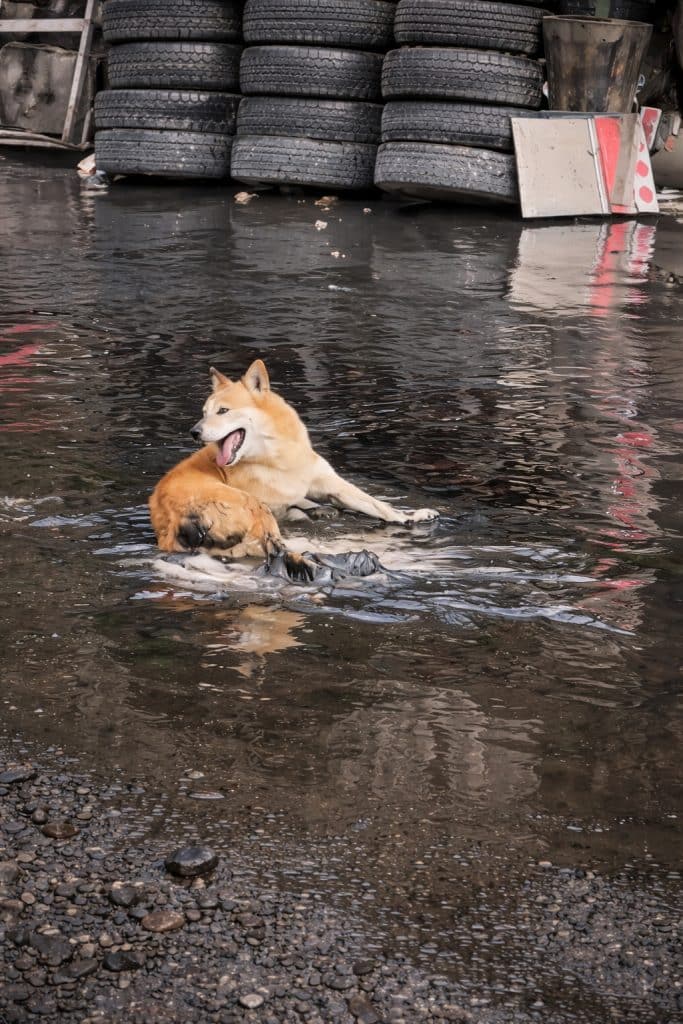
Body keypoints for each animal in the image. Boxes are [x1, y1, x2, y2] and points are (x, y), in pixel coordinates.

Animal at [149, 360, 438, 577]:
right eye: (204, 412)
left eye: (222, 411)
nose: (194, 432)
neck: (276, 454)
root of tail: (171, 524)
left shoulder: (332, 485)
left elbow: (378, 505)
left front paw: (411, 516)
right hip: (255, 507)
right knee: (283, 549)